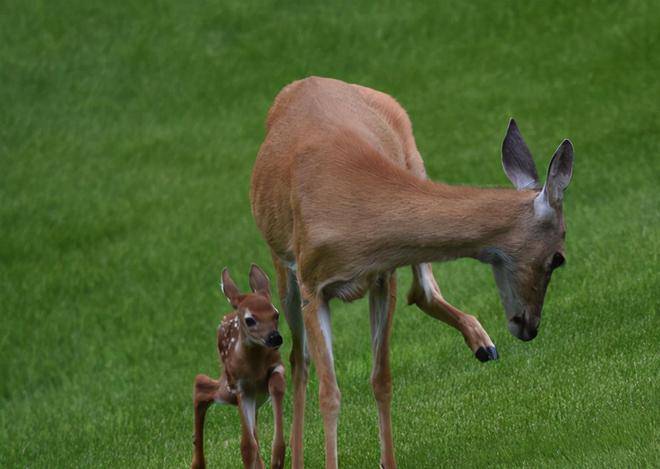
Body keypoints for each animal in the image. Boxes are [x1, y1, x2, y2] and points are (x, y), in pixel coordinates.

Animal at [250, 75, 568, 466]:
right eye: (558, 258)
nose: (530, 326)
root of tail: (305, 81)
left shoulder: (383, 275)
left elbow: (382, 379)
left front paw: (389, 461)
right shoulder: (313, 285)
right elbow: (330, 392)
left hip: (415, 161)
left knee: (422, 291)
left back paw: (483, 343)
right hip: (283, 266)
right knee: (298, 360)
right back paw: (286, 457)